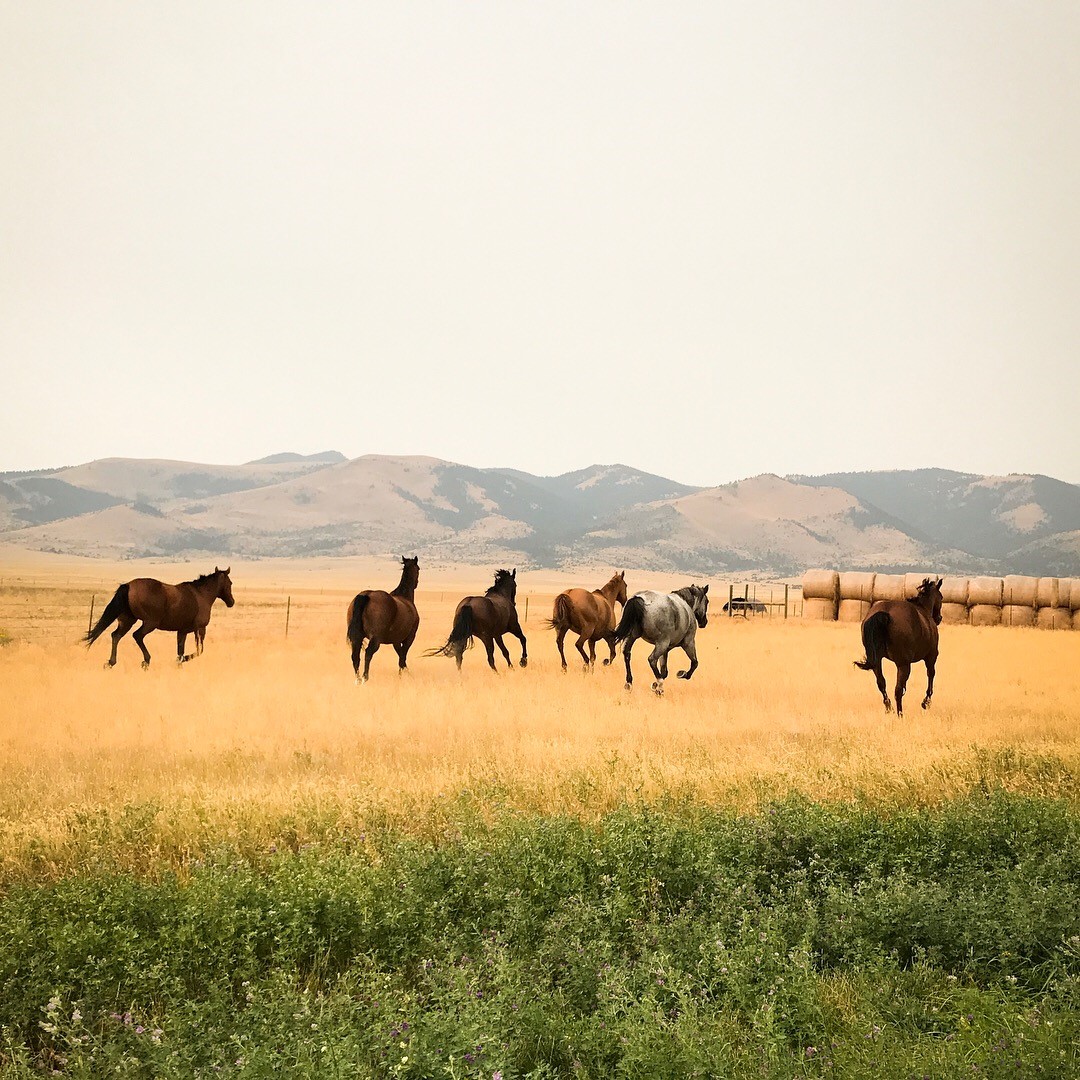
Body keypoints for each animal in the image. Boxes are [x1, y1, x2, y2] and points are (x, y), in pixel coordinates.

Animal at [82, 565, 236, 665]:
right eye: (230, 583)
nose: (231, 602)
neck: (201, 594)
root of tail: (129, 585)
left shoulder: (182, 631)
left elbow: (180, 650)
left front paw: (180, 662)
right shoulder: (200, 629)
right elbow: (199, 651)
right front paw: (184, 659)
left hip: (127, 620)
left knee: (116, 635)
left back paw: (111, 662)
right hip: (150, 623)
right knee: (137, 636)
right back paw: (146, 660)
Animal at [855, 574, 941, 717]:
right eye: (941, 597)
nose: (939, 618)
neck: (923, 610)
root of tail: (885, 613)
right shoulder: (931, 656)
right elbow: (931, 674)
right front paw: (926, 702)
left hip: (877, 662)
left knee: (881, 683)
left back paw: (889, 708)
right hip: (903, 664)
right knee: (898, 690)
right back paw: (900, 714)